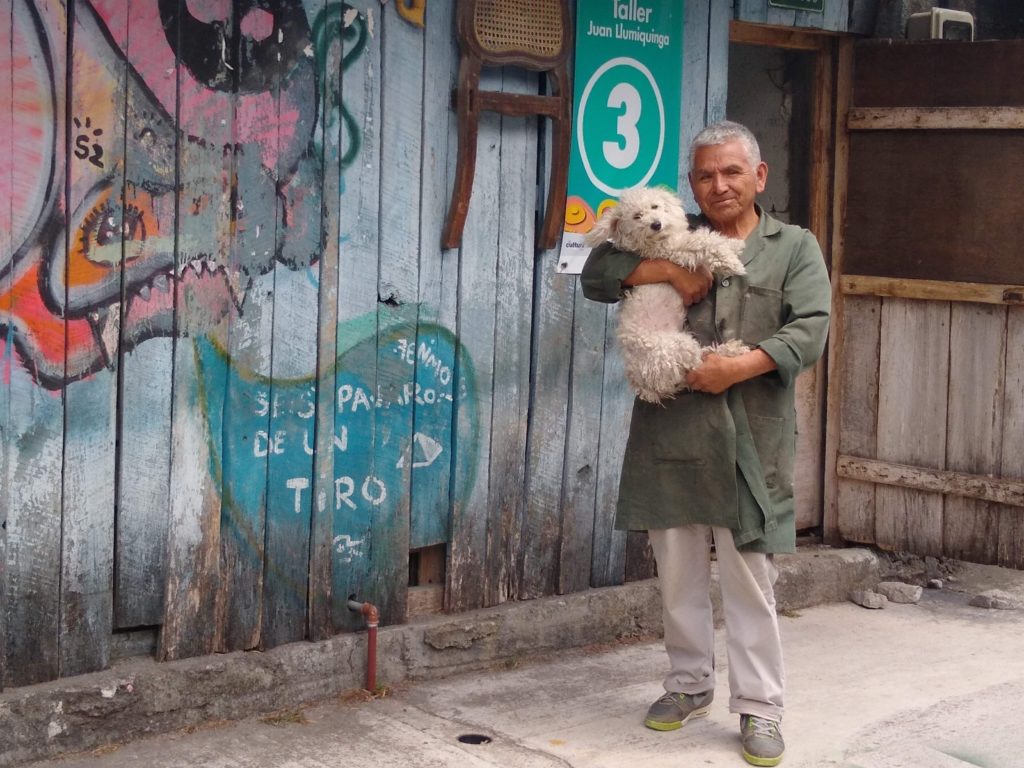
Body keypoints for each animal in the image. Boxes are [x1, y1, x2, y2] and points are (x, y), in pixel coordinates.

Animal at [589, 188, 749, 403]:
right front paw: (731, 262)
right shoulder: (678, 252)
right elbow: (705, 240)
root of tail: (645, 386)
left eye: (655, 206)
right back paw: (732, 351)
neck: (658, 241)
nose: (656, 224)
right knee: (699, 362)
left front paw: (735, 244)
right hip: (675, 348)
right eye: (637, 216)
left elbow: (712, 237)